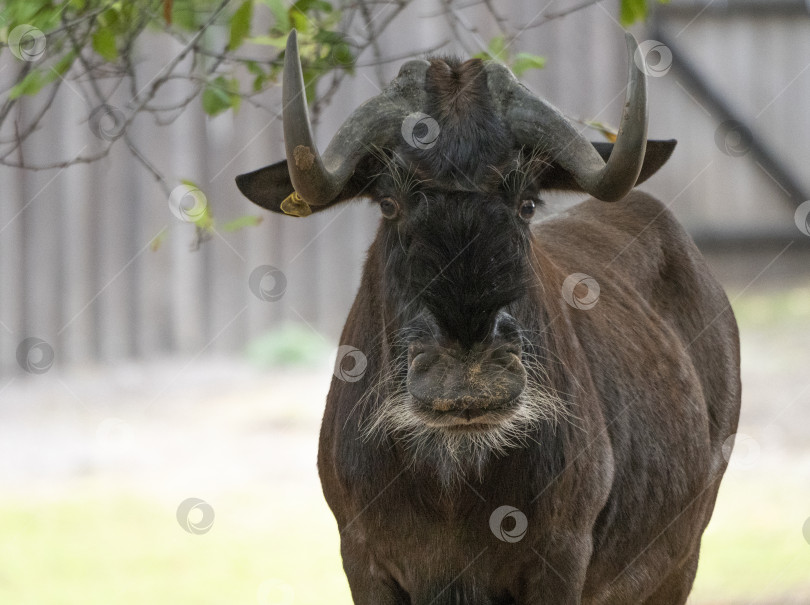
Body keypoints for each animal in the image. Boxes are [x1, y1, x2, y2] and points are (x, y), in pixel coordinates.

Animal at [234, 30, 740, 604]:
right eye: (389, 202)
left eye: (527, 202)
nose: (468, 375)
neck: (450, 488)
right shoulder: (362, 561)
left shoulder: (560, 560)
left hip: (680, 563)